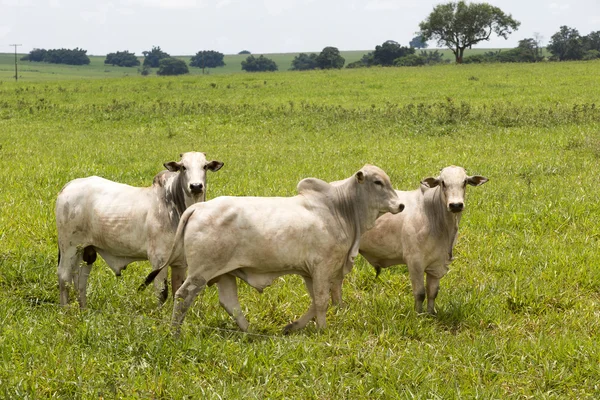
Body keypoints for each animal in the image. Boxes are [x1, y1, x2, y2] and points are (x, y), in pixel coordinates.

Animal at [55, 152, 224, 308]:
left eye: (205, 166)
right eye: (183, 167)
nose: (196, 186)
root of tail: (69, 185)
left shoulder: (180, 263)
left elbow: (178, 293)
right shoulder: (158, 260)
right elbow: (162, 293)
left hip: (85, 250)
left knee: (79, 280)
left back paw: (83, 310)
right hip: (68, 247)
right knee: (64, 277)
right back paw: (66, 311)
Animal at [141, 164, 404, 332]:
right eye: (378, 182)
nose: (401, 205)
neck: (341, 208)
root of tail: (198, 208)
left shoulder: (310, 272)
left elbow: (316, 301)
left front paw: (292, 327)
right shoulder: (323, 267)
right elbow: (321, 301)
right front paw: (323, 330)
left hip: (224, 273)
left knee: (230, 303)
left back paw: (249, 332)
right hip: (200, 272)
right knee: (183, 295)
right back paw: (174, 331)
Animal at [356, 166, 488, 316]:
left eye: (464, 182)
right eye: (443, 182)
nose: (456, 205)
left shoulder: (436, 265)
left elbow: (432, 293)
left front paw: (430, 314)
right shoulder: (415, 262)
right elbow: (420, 293)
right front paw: (418, 315)